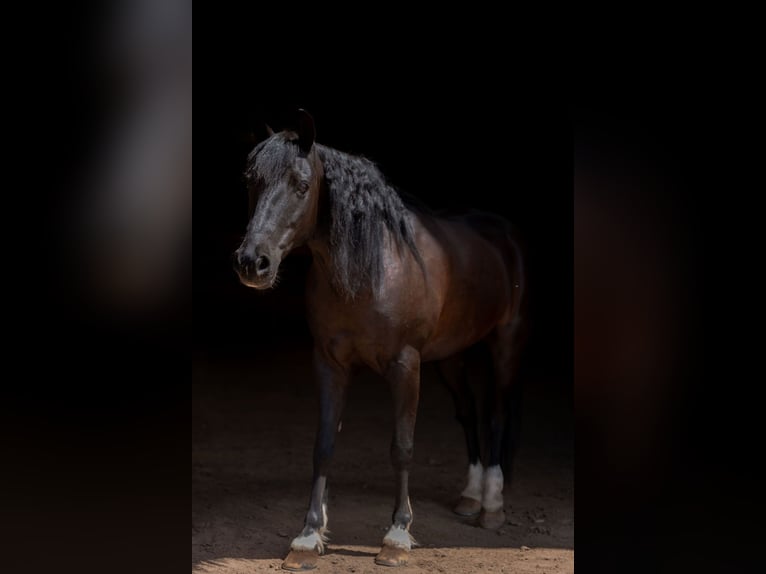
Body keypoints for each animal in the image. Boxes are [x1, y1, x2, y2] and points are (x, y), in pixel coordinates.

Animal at [234, 110, 527, 570]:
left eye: (302, 184)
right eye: (251, 179)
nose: (252, 263)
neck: (371, 271)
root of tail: (502, 231)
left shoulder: (405, 365)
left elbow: (402, 447)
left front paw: (397, 535)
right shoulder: (329, 364)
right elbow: (323, 445)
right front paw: (308, 536)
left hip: (505, 345)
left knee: (496, 413)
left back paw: (492, 505)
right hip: (450, 357)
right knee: (469, 412)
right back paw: (469, 497)